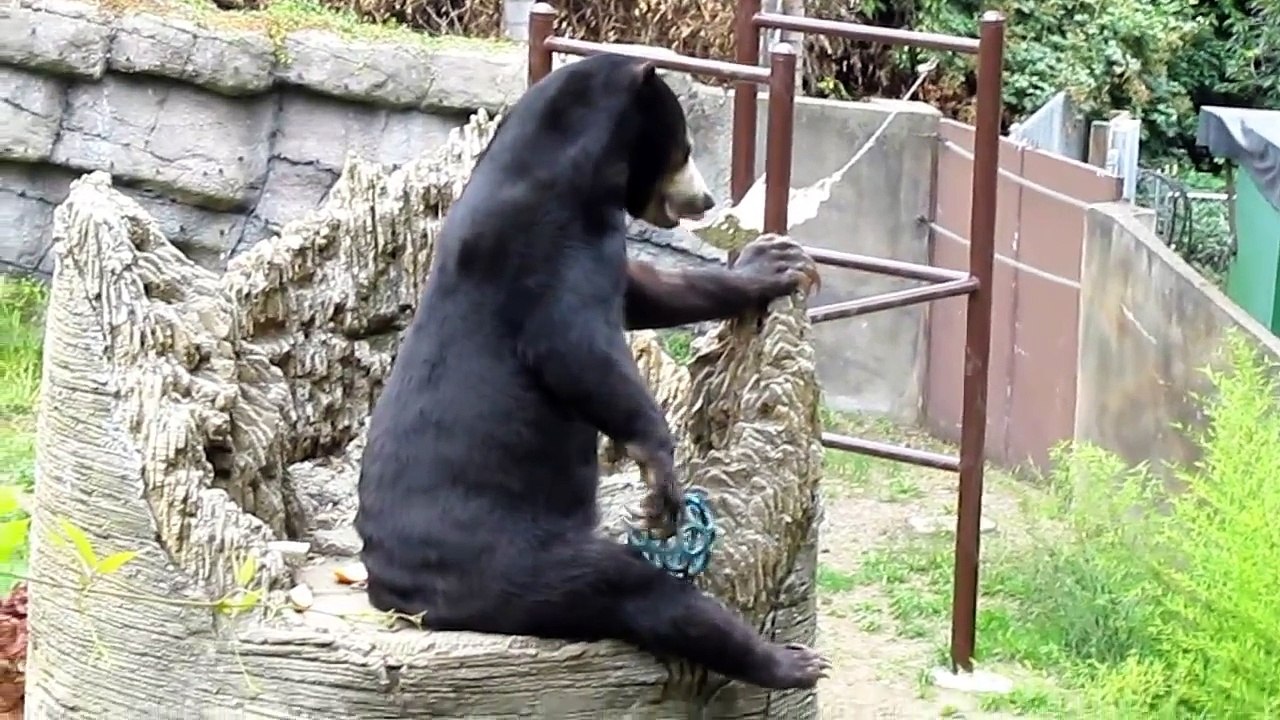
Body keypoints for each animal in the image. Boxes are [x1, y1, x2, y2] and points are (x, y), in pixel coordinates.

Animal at [354, 53, 828, 691]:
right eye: (683, 147)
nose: (704, 200)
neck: (575, 176)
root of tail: (400, 598)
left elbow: (650, 291)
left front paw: (775, 262)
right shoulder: (546, 256)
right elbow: (579, 352)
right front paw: (661, 477)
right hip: (508, 554)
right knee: (631, 588)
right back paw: (788, 661)